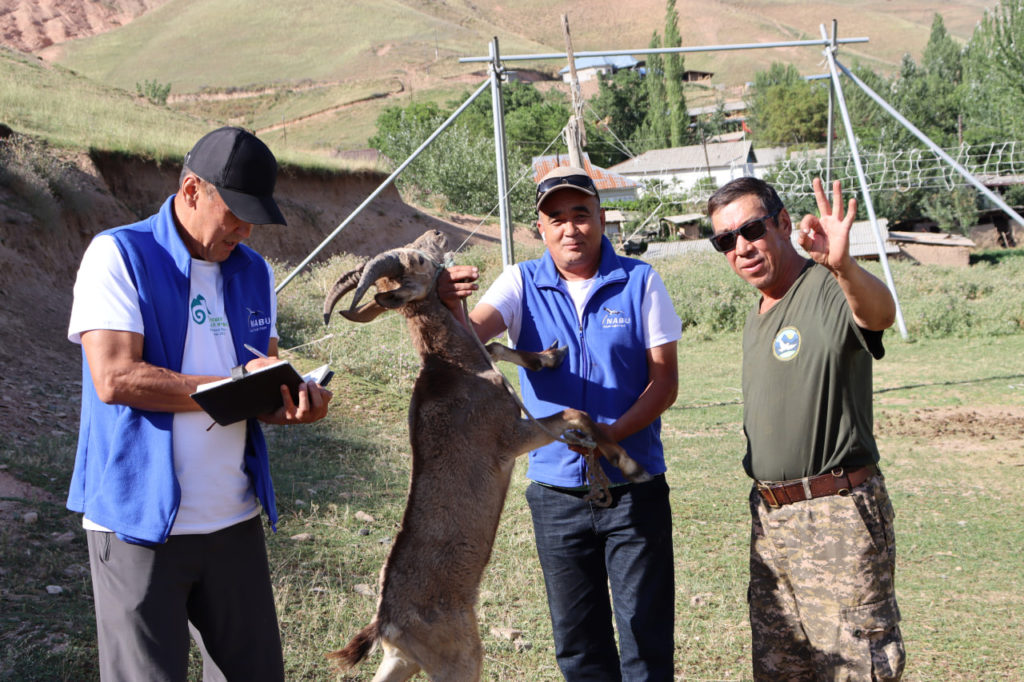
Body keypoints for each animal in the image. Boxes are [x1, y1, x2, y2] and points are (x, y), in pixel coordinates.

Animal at [323, 229, 651, 679]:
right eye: (418, 261)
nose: (438, 233)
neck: (457, 368)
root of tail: (387, 624)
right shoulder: (510, 437)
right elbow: (577, 414)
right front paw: (630, 465)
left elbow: (495, 343)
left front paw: (549, 356)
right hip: (459, 658)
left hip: (401, 661)